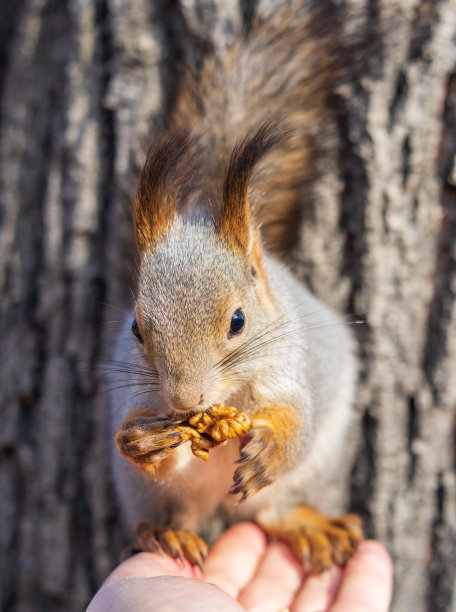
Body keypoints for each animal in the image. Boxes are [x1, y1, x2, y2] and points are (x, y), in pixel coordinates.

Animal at [108, 2, 366, 572]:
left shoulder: (292, 372)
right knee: (171, 511)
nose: (185, 399)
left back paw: (308, 527)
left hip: (320, 465)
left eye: (239, 321)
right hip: (147, 497)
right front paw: (143, 443)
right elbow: (147, 447)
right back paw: (166, 534)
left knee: (271, 512)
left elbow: (297, 423)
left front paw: (270, 451)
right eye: (136, 329)